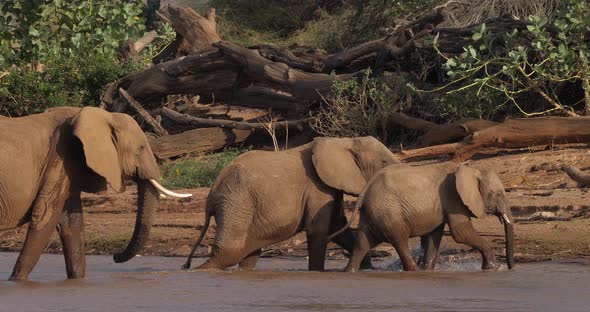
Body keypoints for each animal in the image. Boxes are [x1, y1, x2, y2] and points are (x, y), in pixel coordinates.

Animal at [0, 107, 190, 280]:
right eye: (142, 147)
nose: (114, 256)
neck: (105, 116)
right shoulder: (60, 159)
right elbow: (44, 215)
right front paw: (16, 281)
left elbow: (72, 223)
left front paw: (77, 281)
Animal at [183, 136, 400, 270]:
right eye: (384, 162)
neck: (343, 141)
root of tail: (211, 194)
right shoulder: (317, 187)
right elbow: (319, 231)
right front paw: (316, 273)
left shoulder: (330, 188)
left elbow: (338, 228)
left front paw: (367, 269)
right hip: (236, 202)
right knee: (228, 252)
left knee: (248, 255)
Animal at [332, 162, 520, 272]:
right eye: (497, 194)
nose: (511, 268)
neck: (472, 169)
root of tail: (365, 189)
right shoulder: (453, 197)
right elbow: (460, 232)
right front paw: (493, 268)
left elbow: (434, 235)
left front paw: (429, 271)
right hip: (388, 211)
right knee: (400, 240)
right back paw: (414, 271)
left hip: (372, 212)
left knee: (362, 243)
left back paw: (349, 272)